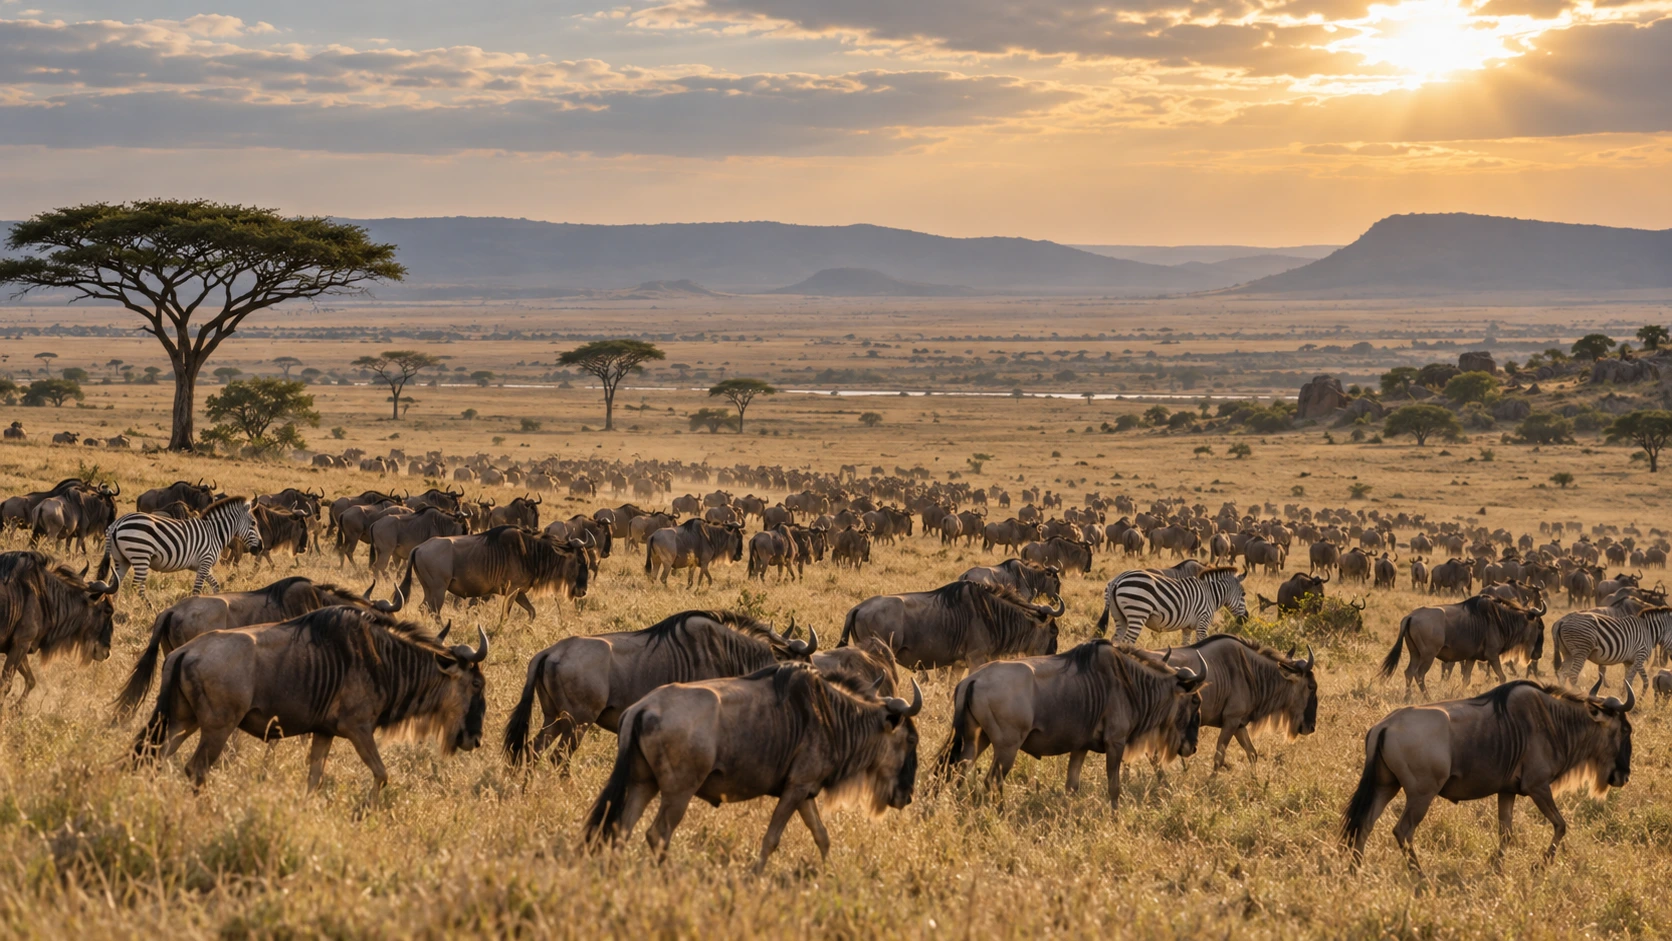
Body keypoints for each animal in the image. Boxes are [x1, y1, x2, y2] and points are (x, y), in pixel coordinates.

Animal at [98, 496, 262, 598]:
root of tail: (117, 523)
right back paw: (146, 607)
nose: (260, 547)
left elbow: (216, 586)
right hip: (140, 555)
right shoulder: (205, 561)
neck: (214, 532)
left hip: (122, 558)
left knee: (115, 583)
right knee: (136, 586)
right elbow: (197, 589)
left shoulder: (203, 565)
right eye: (254, 523)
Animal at [1095, 566, 1248, 644]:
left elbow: (1186, 645)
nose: (1246, 618)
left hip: (1119, 616)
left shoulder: (1187, 628)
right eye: (1244, 594)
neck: (1210, 594)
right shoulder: (1202, 623)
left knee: (1116, 639)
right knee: (1127, 641)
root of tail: (1118, 578)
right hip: (1138, 612)